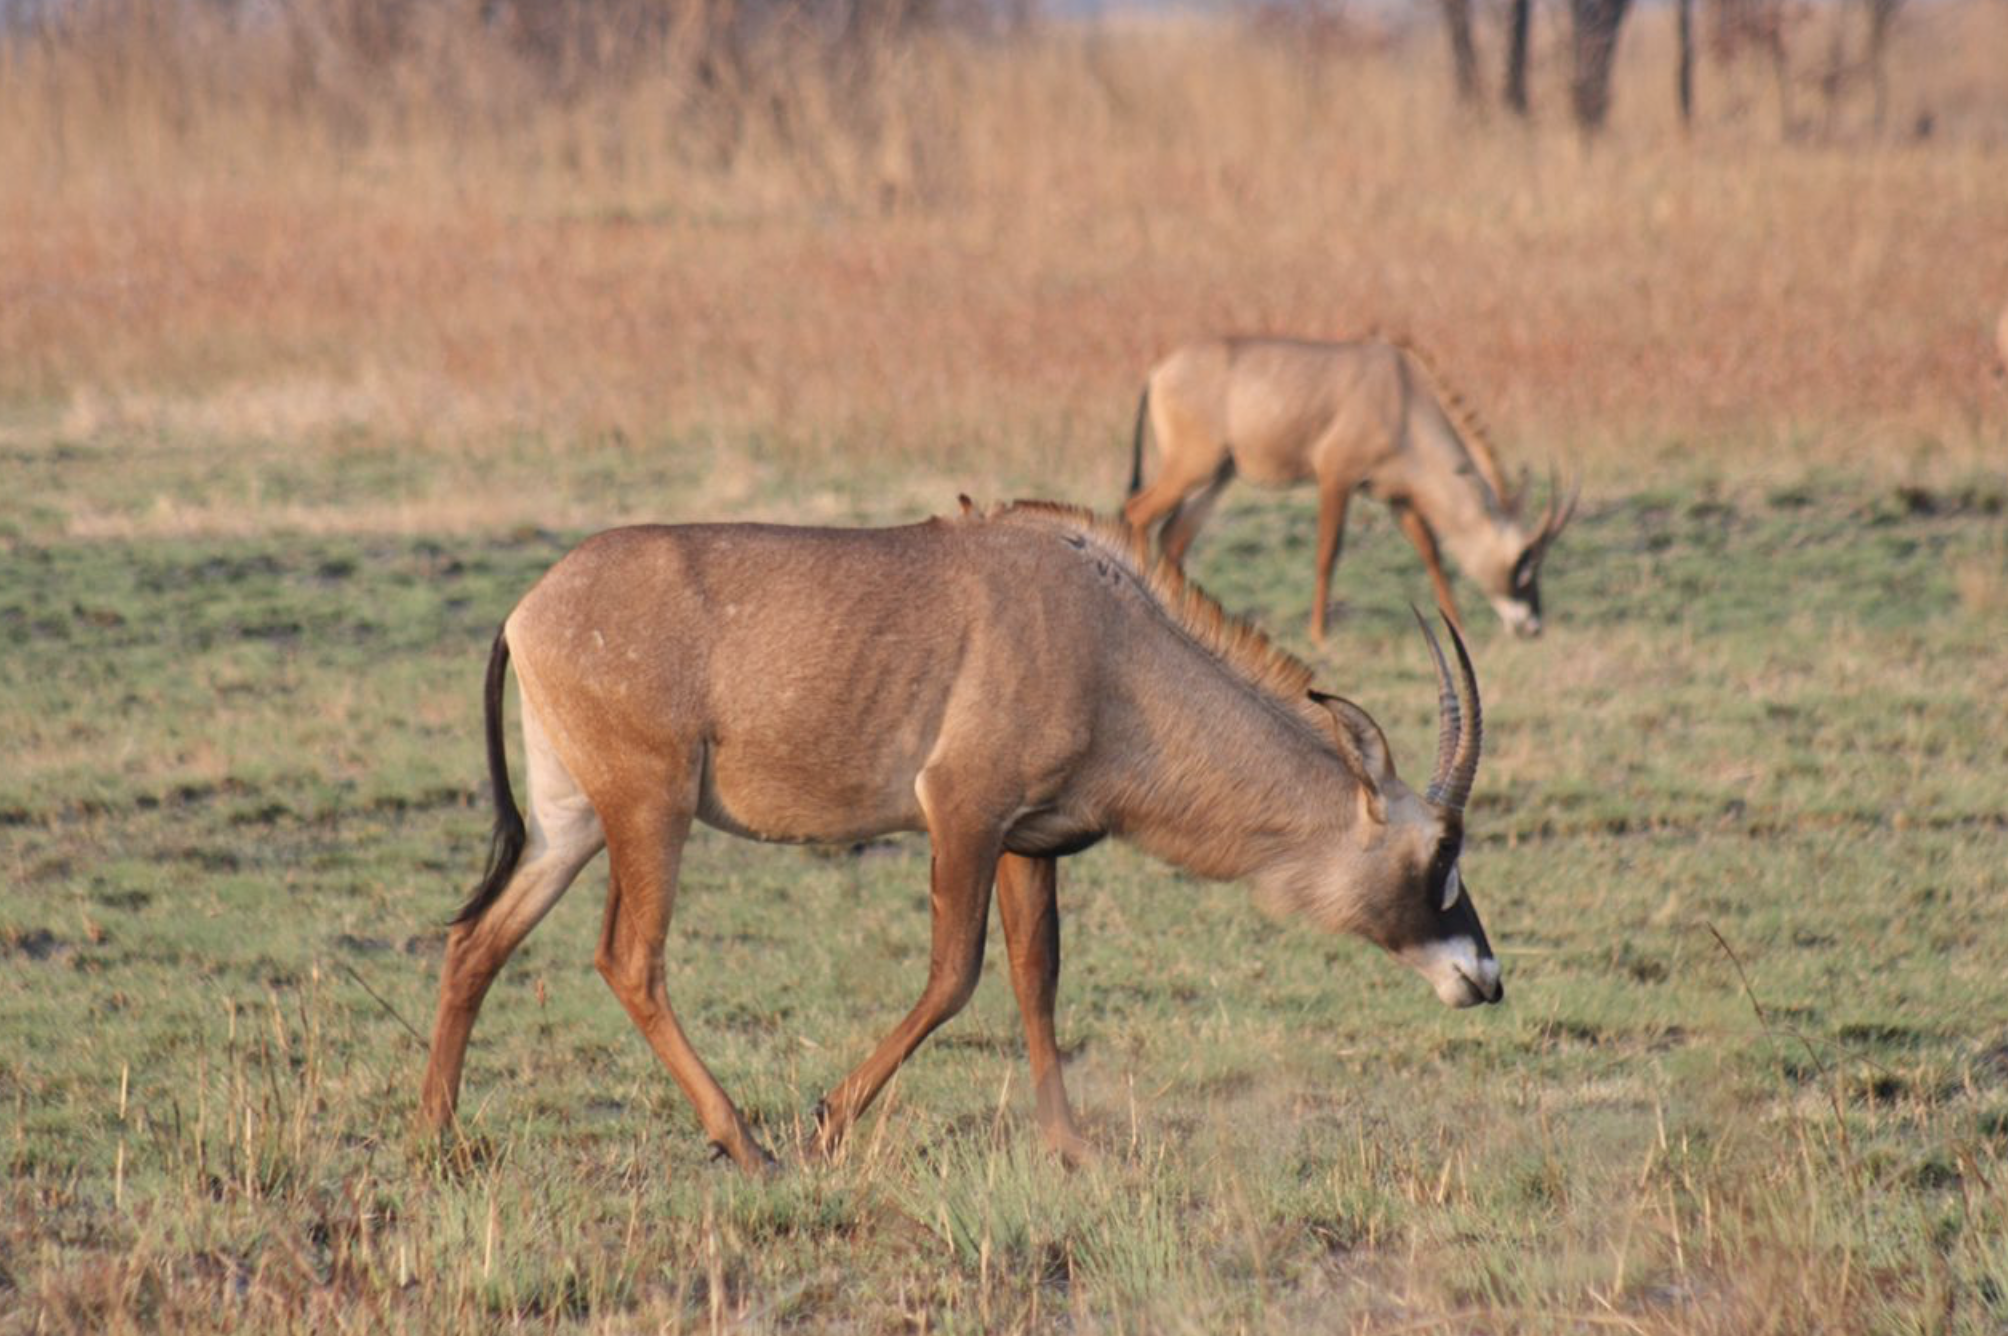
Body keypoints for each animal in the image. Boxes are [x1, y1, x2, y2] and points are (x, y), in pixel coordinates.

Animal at [415, 498, 1501, 1165]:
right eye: (1439, 852)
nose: (1484, 977)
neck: (1111, 645)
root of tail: (528, 609)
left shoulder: (1025, 839)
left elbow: (1035, 978)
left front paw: (1071, 1147)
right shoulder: (963, 813)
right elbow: (955, 976)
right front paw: (826, 1124)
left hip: (570, 824)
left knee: (477, 941)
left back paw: (439, 1136)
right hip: (651, 811)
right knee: (629, 959)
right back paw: (748, 1145)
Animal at [1124, 339, 1574, 642]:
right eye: (1525, 563)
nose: (1532, 625)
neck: (1401, 395)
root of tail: (1157, 372)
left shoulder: (1395, 496)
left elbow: (1430, 549)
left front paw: (1457, 621)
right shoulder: (1336, 478)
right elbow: (1328, 551)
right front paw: (1319, 632)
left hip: (1219, 474)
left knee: (1174, 535)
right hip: (1192, 467)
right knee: (1138, 513)